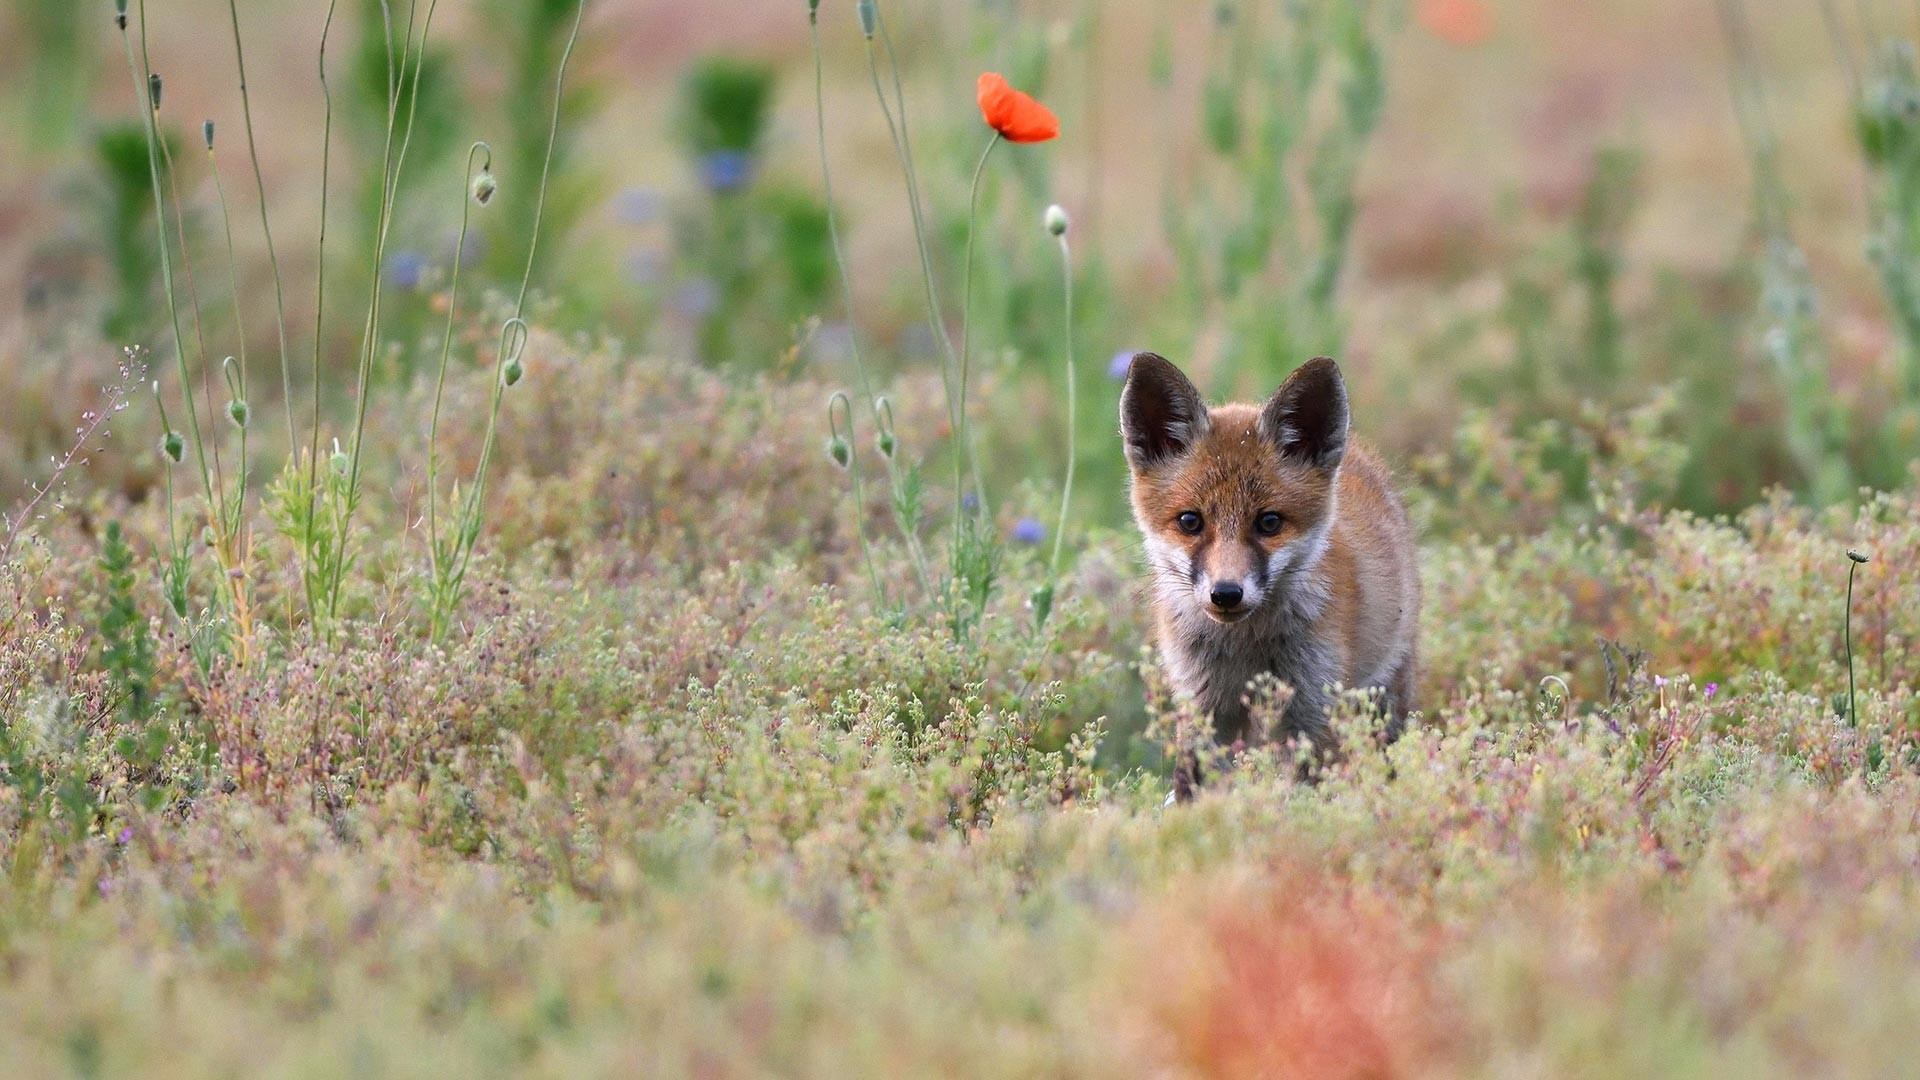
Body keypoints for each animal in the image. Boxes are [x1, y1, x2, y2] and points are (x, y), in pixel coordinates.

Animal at [1120, 352, 1420, 765]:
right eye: (1190, 521)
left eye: (1269, 522)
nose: (1226, 593)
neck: (1244, 647)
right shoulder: (1203, 706)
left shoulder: (1314, 707)